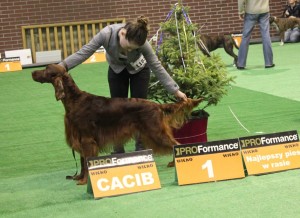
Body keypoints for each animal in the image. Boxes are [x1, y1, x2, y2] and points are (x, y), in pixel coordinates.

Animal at [31, 63, 202, 185]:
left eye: (46, 69)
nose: (32, 73)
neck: (75, 100)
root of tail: (157, 106)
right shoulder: (79, 138)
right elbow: (81, 161)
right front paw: (79, 177)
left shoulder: (87, 139)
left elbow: (86, 162)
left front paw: (85, 181)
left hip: (156, 132)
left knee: (176, 144)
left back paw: (176, 162)